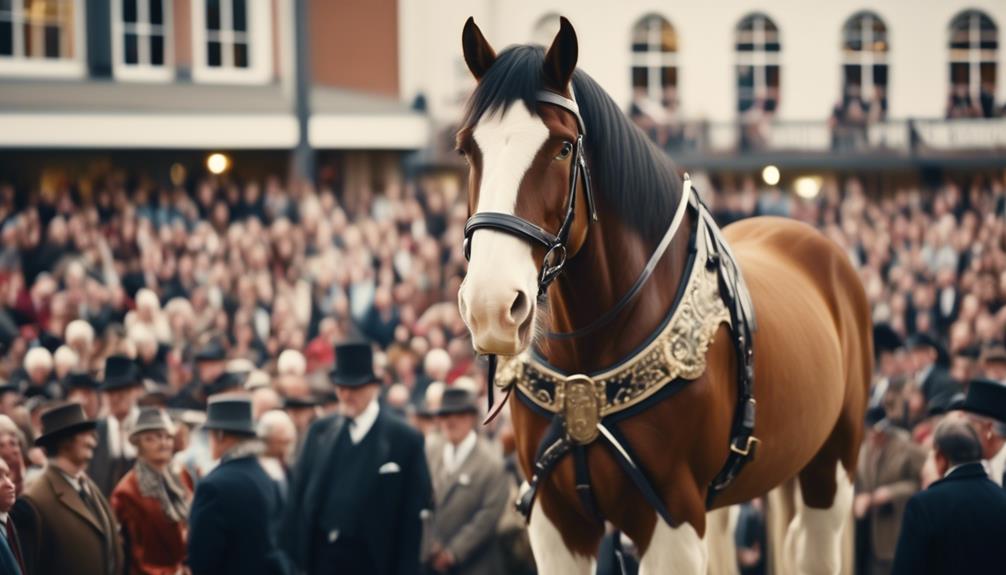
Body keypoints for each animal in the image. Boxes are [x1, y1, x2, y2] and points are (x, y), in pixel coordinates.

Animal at [456, 17, 873, 575]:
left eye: (562, 147)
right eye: (466, 149)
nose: (491, 306)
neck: (587, 361)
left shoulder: (672, 518)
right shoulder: (555, 519)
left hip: (832, 464)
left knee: (815, 542)